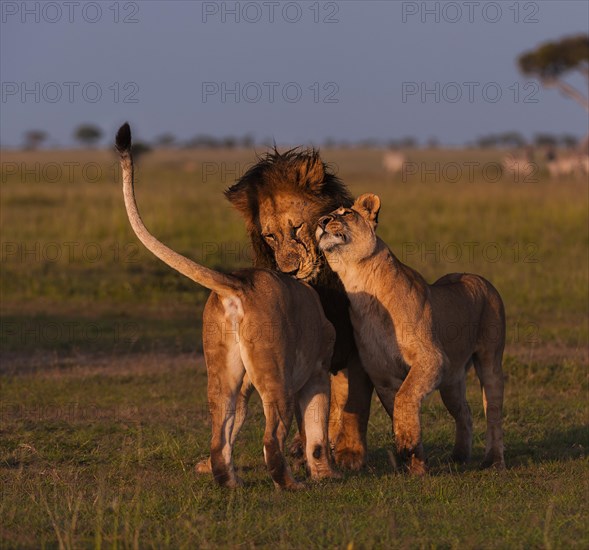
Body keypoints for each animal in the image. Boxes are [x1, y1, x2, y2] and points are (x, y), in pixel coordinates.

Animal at [116, 126, 336, 492]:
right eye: (275, 235)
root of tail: (238, 284)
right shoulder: (317, 373)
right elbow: (316, 434)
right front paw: (327, 475)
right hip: (277, 377)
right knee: (271, 438)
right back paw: (290, 485)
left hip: (222, 376)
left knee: (219, 437)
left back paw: (229, 483)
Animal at [224, 150, 372, 470]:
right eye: (269, 236)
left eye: (296, 227)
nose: (290, 271)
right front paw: (308, 451)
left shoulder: (356, 345)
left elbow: (354, 403)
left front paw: (350, 454)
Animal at [316, 196, 506, 476]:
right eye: (326, 214)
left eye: (346, 213)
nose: (321, 221)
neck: (357, 278)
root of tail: (478, 277)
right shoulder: (382, 373)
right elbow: (397, 407)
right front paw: (415, 464)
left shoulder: (431, 358)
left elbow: (405, 398)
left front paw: (409, 449)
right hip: (451, 380)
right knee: (465, 412)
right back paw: (458, 457)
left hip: (489, 361)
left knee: (492, 412)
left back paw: (493, 461)